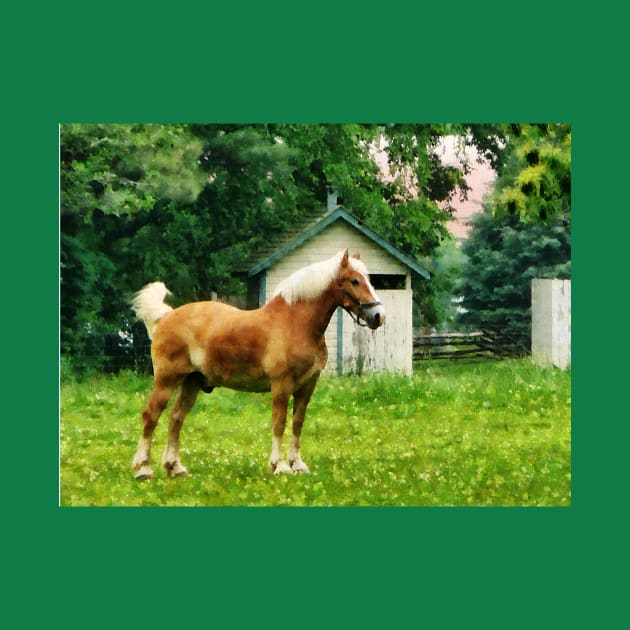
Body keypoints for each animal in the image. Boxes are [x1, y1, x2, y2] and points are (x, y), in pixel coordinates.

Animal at [130, 249, 386, 482]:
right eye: (354, 280)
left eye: (368, 279)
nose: (378, 316)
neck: (295, 323)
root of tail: (166, 317)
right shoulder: (281, 385)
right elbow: (279, 422)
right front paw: (279, 465)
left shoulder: (307, 387)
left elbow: (297, 423)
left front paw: (297, 464)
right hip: (166, 380)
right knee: (151, 416)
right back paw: (143, 469)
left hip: (191, 383)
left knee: (176, 418)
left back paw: (174, 467)